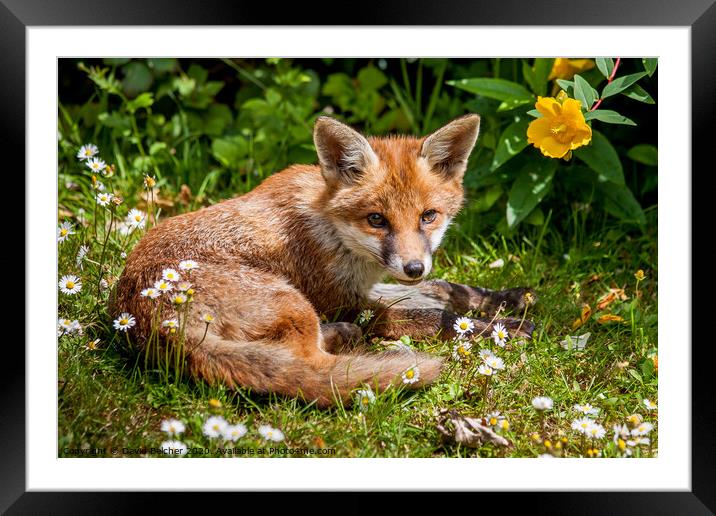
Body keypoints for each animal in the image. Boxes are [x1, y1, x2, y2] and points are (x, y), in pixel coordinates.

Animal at [112, 114, 536, 408]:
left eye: (428, 216)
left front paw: (506, 299)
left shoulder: (368, 286)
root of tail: (154, 319)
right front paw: (502, 329)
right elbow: (433, 316)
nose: (413, 268)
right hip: (294, 301)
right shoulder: (344, 299)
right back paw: (360, 346)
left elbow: (446, 289)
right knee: (310, 366)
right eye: (377, 219)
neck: (332, 230)